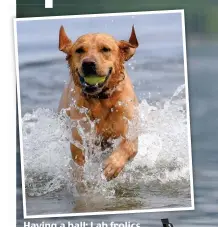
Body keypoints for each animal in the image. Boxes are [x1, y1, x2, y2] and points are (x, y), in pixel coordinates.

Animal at [58, 25, 139, 181]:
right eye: (79, 50)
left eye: (105, 49)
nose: (88, 63)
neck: (101, 99)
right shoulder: (80, 139)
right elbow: (79, 163)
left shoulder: (130, 129)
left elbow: (127, 145)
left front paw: (112, 166)